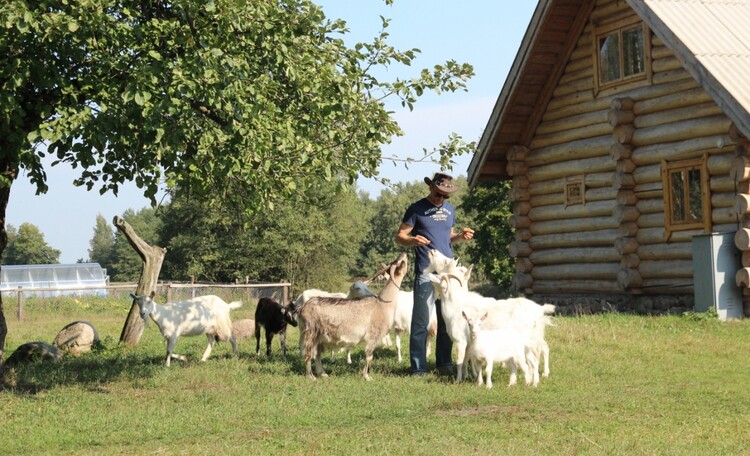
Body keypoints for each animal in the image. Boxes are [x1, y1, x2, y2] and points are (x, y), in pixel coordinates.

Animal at [298, 253, 408, 382]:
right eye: (401, 263)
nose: (403, 254)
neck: (382, 304)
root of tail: (302, 308)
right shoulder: (373, 335)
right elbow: (369, 356)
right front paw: (367, 377)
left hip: (319, 337)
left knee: (317, 354)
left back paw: (323, 374)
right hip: (311, 332)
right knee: (308, 354)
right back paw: (311, 376)